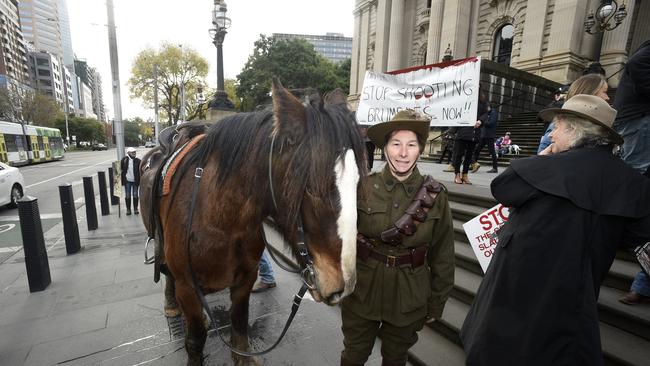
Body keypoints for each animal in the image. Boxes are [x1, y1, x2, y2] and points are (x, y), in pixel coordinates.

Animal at [141, 81, 364, 366]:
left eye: (357, 184)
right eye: (312, 189)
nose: (344, 286)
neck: (220, 220)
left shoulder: (245, 280)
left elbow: (239, 327)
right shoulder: (188, 286)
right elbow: (195, 341)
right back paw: (171, 305)